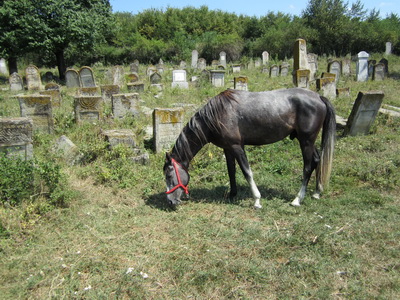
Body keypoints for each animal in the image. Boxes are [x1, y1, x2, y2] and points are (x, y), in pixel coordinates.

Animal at [162, 86, 334, 209]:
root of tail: (319, 97)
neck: (217, 115)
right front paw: (232, 194)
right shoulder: (228, 149)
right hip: (305, 140)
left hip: (306, 141)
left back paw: (297, 199)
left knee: (307, 166)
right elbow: (231, 171)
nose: (170, 202)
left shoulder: (237, 147)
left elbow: (247, 172)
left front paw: (257, 200)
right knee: (317, 159)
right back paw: (317, 192)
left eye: (169, 176)